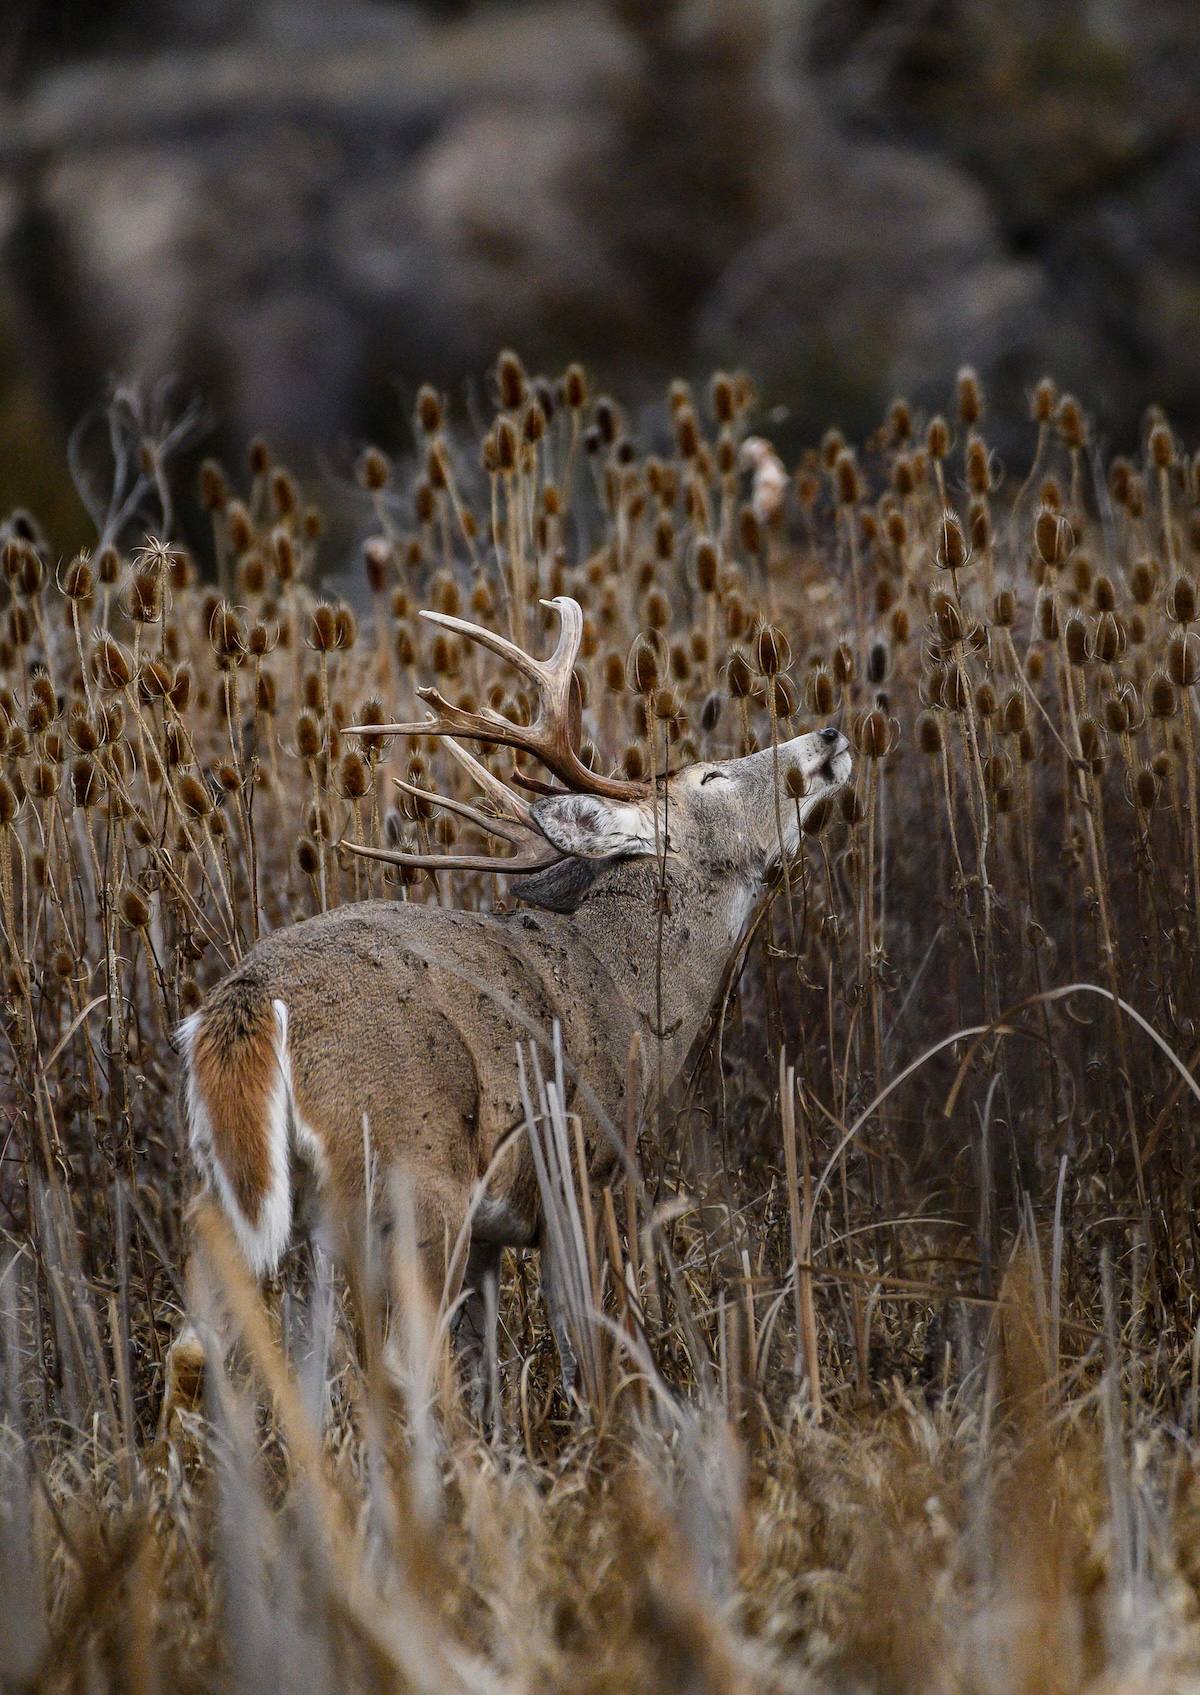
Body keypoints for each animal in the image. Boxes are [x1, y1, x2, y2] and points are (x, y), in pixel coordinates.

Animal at [172, 596, 851, 1401]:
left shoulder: (494, 1234)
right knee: (399, 1359)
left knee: (205, 1340)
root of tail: (248, 1001)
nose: (830, 735)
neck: (627, 994)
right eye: (712, 777)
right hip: (409, 1175)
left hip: (237, 1192)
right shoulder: (579, 1169)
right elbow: (584, 1341)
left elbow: (488, 1364)